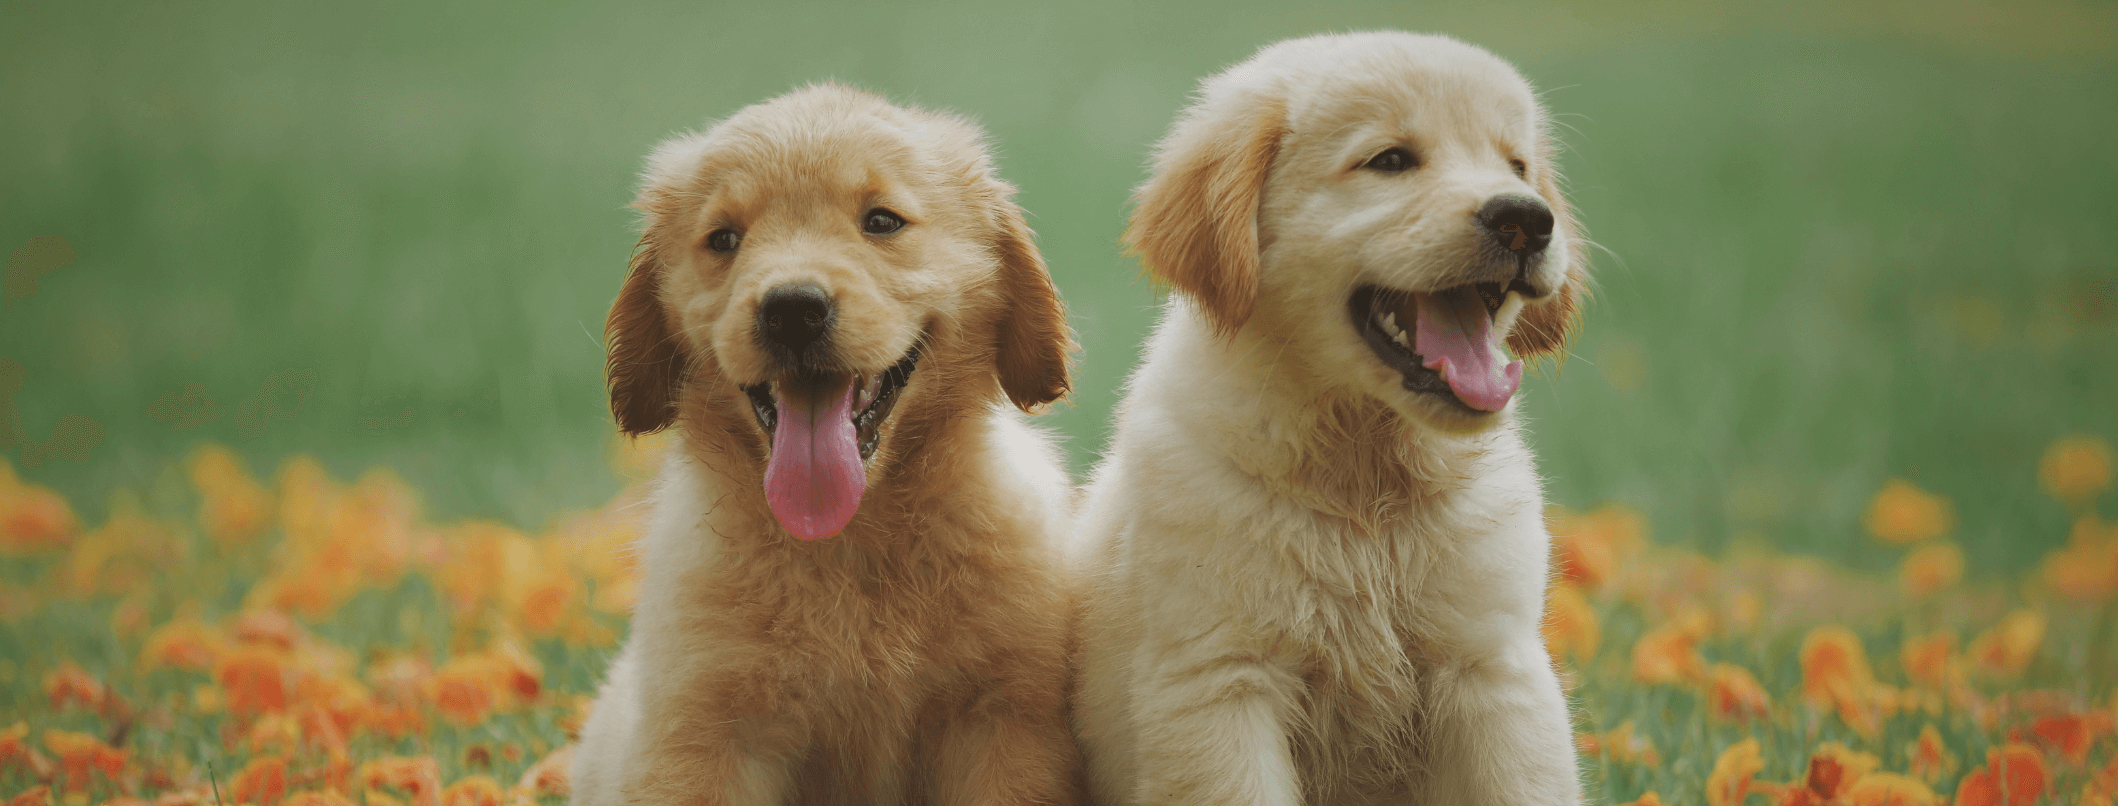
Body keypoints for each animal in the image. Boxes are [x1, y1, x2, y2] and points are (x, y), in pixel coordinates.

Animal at [571, 83, 1084, 803]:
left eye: (882, 222)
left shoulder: (1004, 725)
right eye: (723, 239)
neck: (847, 540)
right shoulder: (705, 739)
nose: (792, 309)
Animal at [1075, 31, 1592, 803]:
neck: (1364, 477)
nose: (1527, 219)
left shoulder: (1493, 667)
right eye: (1390, 161)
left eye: (1517, 165)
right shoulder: (1220, 679)